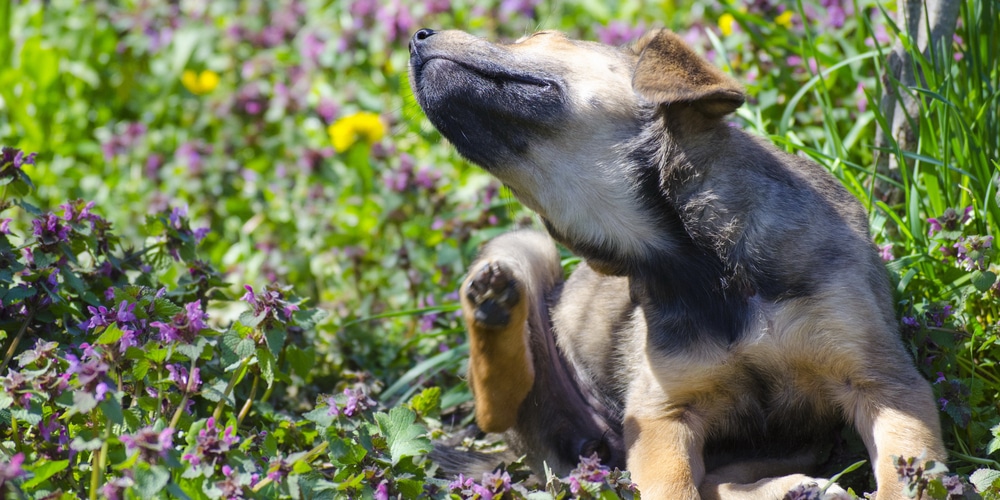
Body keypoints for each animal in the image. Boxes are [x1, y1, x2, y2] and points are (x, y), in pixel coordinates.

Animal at [406, 28, 944, 500]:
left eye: (538, 37)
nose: (416, 37)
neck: (697, 262)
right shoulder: (662, 417)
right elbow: (674, 489)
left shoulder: (884, 383)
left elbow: (904, 478)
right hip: (526, 246)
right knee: (495, 407)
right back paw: (493, 304)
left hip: (793, 445)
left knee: (721, 482)